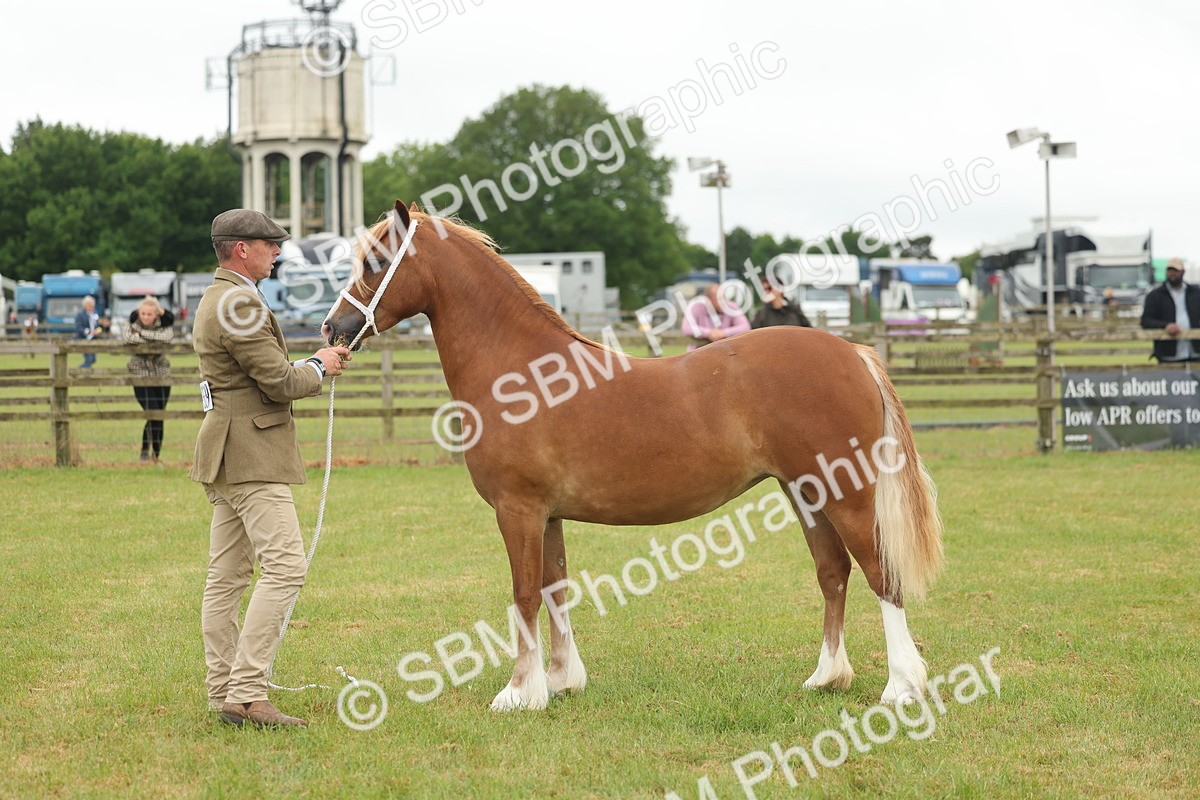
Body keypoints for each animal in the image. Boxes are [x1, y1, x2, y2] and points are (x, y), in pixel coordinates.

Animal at [323, 201, 943, 711]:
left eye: (376, 260)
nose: (333, 327)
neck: (523, 373)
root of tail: (853, 352)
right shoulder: (548, 515)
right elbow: (554, 590)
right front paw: (561, 681)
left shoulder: (518, 510)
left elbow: (524, 595)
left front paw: (518, 693)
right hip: (806, 492)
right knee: (832, 571)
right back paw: (826, 677)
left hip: (848, 494)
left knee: (880, 573)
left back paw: (901, 687)